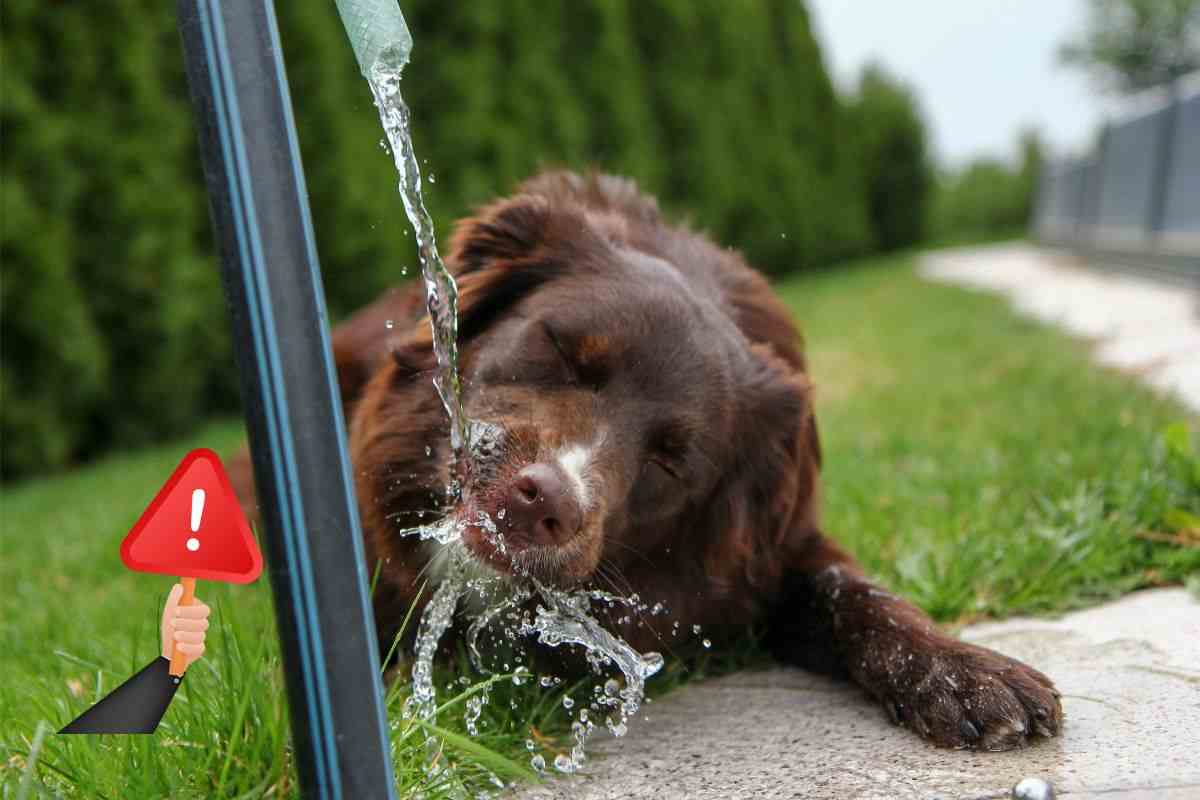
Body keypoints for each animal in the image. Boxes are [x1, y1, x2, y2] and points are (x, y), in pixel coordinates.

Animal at [238, 172, 1065, 753]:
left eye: (672, 461)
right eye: (561, 350)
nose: (544, 503)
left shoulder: (772, 553)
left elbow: (857, 592)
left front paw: (964, 671)